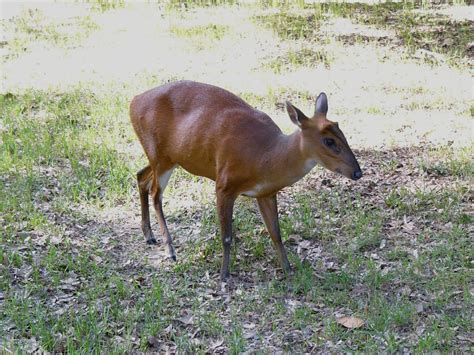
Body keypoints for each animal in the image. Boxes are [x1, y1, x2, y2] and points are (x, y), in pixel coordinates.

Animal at [128, 80, 362, 280]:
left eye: (342, 132)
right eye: (329, 141)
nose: (357, 172)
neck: (265, 158)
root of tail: (134, 101)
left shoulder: (266, 192)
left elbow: (276, 233)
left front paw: (288, 269)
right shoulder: (224, 184)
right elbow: (227, 236)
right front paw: (224, 274)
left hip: (167, 158)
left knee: (141, 176)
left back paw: (149, 235)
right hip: (159, 154)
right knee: (156, 194)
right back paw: (170, 249)